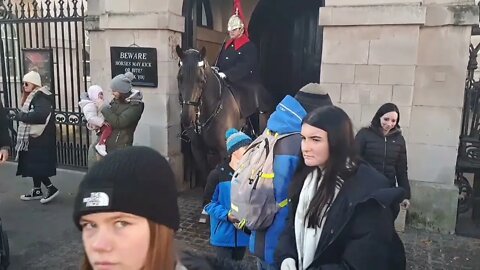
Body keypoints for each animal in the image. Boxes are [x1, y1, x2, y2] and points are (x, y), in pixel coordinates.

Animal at [174, 46, 270, 188]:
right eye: (179, 78)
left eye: (201, 80)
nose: (186, 118)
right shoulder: (198, 150)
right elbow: (206, 177)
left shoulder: (224, 152)